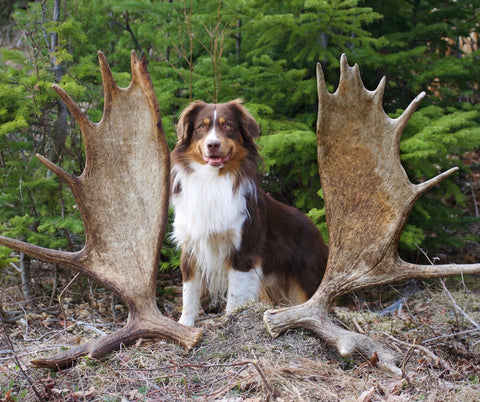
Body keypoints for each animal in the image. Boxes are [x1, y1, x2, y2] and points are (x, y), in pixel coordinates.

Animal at [170, 100, 330, 326]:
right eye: (202, 126)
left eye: (228, 125)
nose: (213, 145)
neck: (212, 179)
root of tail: (319, 234)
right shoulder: (191, 246)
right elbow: (189, 292)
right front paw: (184, 324)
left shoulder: (244, 250)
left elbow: (235, 294)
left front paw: (230, 320)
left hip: (308, 281)